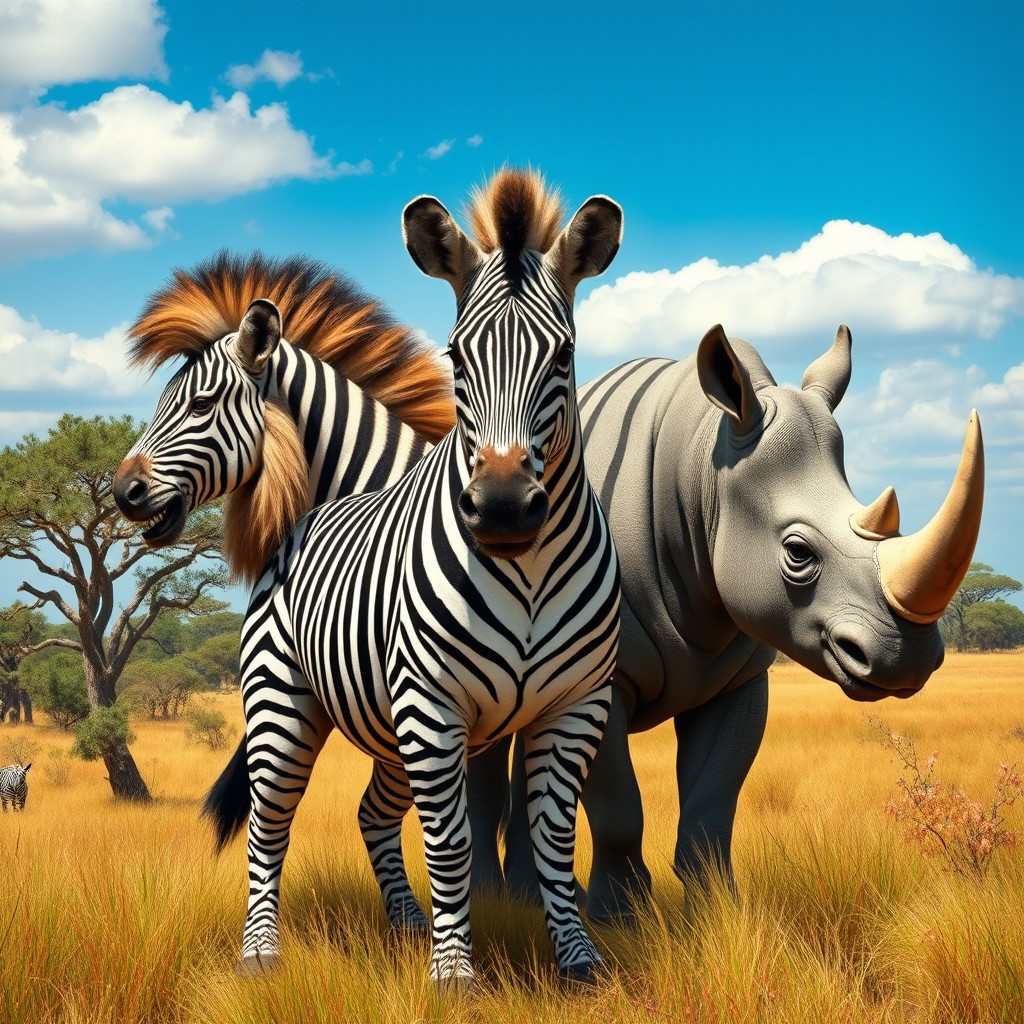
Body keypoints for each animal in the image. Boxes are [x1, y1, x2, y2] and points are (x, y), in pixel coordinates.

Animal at [203, 169, 623, 986]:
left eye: (563, 357)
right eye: (456, 357)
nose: (502, 508)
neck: (524, 568)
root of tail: (310, 513)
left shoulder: (578, 705)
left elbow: (554, 842)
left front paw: (579, 959)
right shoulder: (433, 707)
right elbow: (453, 841)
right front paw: (455, 974)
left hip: (391, 727)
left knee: (371, 811)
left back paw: (405, 922)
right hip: (285, 705)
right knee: (270, 824)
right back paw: (261, 953)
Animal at [469, 323, 984, 920]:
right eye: (798, 553)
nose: (909, 659)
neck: (699, 471)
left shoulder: (739, 675)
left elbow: (713, 802)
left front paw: (718, 910)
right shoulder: (603, 674)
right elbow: (618, 805)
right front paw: (620, 918)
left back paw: (531, 899)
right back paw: (493, 898)